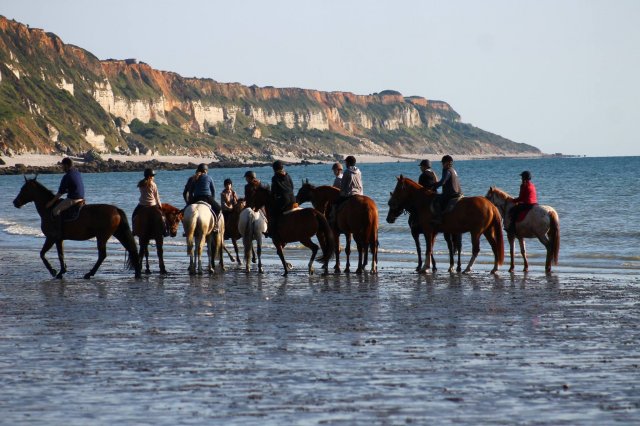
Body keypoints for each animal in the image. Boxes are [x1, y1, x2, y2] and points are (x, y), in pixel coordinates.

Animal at [11, 176, 142, 280]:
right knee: (130, 249)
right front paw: (61, 271)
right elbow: (60, 255)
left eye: (24, 189)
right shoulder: (58, 239)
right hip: (118, 234)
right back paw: (137, 273)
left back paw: (89, 274)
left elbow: (43, 254)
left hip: (102, 237)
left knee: (102, 255)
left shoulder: (51, 238)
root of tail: (116, 209)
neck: (49, 209)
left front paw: (53, 271)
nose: (15, 202)